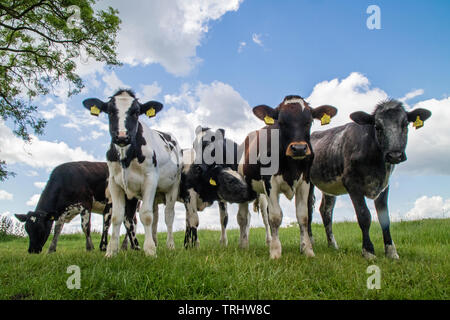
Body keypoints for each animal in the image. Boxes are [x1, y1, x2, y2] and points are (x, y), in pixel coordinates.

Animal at [81, 88, 182, 258]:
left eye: (136, 113)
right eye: (110, 111)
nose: (122, 136)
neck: (126, 157)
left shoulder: (150, 180)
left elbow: (146, 215)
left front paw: (150, 251)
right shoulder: (114, 183)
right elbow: (117, 216)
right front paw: (111, 251)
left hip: (172, 188)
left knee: (168, 216)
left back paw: (170, 245)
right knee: (153, 217)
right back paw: (154, 242)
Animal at [237, 95, 336, 260]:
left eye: (309, 121)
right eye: (281, 122)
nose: (299, 148)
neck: (291, 165)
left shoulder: (305, 183)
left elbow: (303, 217)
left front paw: (307, 250)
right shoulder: (270, 183)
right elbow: (276, 217)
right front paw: (276, 252)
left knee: (265, 216)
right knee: (245, 217)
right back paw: (244, 245)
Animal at [308, 100, 430, 260]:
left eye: (405, 125)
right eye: (377, 127)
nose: (395, 155)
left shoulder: (384, 185)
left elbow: (385, 218)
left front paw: (391, 251)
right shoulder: (352, 184)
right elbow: (364, 216)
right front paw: (368, 251)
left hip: (329, 185)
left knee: (326, 211)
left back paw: (332, 245)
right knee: (308, 209)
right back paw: (310, 241)